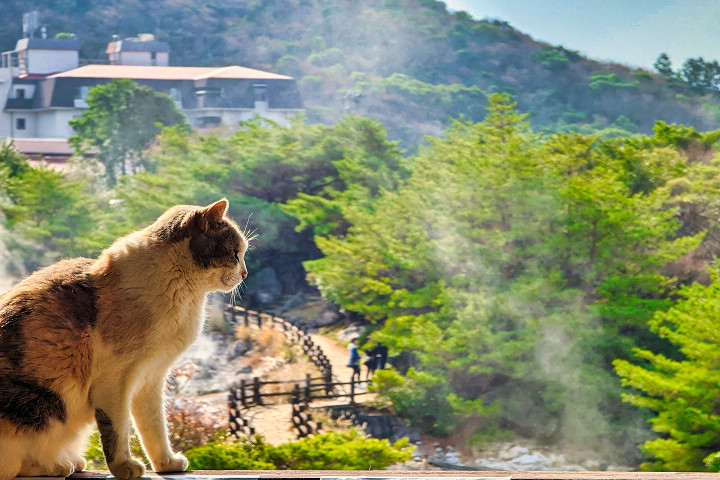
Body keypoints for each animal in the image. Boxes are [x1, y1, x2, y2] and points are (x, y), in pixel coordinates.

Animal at [0, 197, 250, 478]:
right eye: (235, 253)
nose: (245, 274)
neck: (182, 295)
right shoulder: (115, 379)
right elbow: (117, 430)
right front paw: (123, 466)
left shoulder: (151, 378)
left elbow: (155, 429)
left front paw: (166, 464)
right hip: (41, 405)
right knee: (19, 462)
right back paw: (57, 465)